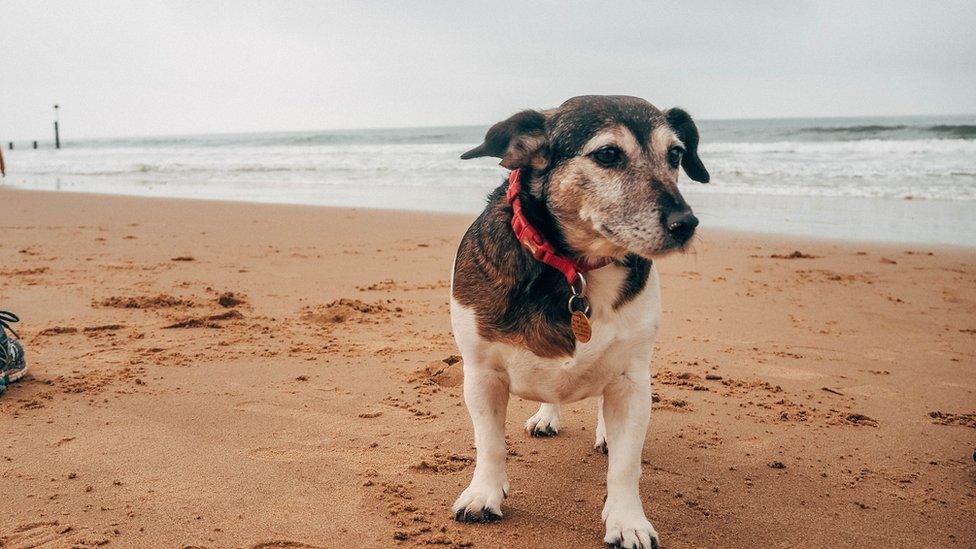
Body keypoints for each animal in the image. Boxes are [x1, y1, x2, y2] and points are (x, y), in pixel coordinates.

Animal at [450, 96, 708, 544]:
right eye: (607, 154)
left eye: (675, 154)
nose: (685, 224)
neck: (576, 268)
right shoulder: (482, 374)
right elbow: (490, 444)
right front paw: (484, 495)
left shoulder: (631, 381)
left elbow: (626, 465)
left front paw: (628, 521)